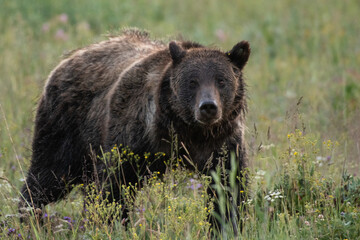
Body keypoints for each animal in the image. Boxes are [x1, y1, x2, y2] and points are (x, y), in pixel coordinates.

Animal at [19, 29, 250, 223]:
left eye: (221, 80)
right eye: (192, 82)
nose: (208, 107)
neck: (185, 130)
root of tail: (69, 58)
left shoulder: (222, 143)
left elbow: (228, 188)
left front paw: (227, 223)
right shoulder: (132, 135)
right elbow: (114, 185)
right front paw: (112, 222)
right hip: (66, 127)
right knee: (49, 175)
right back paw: (29, 217)